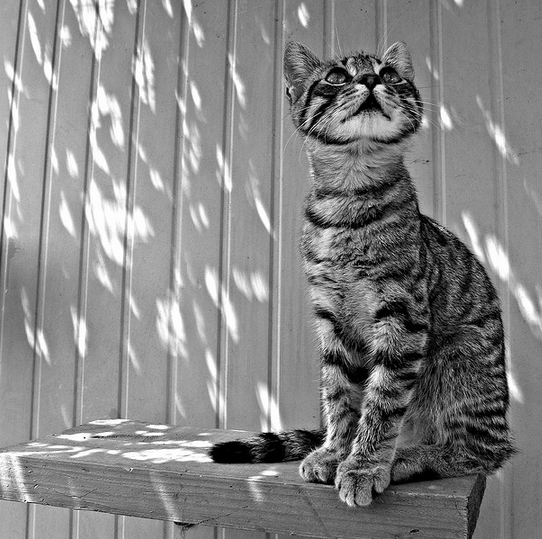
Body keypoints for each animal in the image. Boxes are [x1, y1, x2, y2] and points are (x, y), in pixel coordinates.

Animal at [210, 41, 516, 506]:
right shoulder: (332, 317)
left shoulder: (402, 315)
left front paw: (364, 464)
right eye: (336, 77)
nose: (371, 80)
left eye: (390, 75)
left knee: (479, 451)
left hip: (459, 363)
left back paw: (408, 457)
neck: (348, 201)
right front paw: (336, 451)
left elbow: (382, 400)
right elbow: (340, 394)